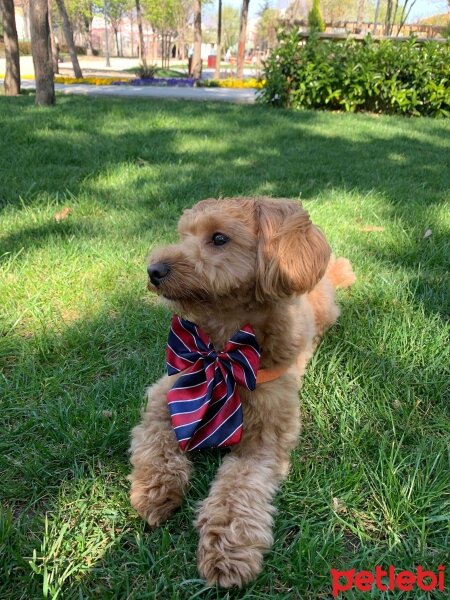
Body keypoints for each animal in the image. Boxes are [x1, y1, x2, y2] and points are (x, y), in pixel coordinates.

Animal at [129, 197, 356, 584]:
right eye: (183, 235)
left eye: (219, 238)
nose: (154, 270)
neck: (223, 350)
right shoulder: (168, 387)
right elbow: (156, 440)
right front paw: (155, 489)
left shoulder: (264, 437)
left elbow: (239, 486)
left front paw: (228, 549)